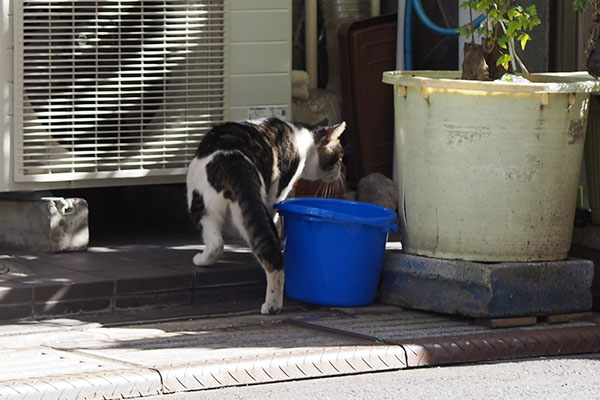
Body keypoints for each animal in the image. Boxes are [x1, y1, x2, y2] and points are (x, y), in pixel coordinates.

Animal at [188, 117, 346, 314]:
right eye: (339, 157)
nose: (341, 170)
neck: (303, 138)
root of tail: (234, 161)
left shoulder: (276, 195)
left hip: (202, 204)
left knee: (228, 244)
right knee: (256, 248)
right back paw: (272, 306)